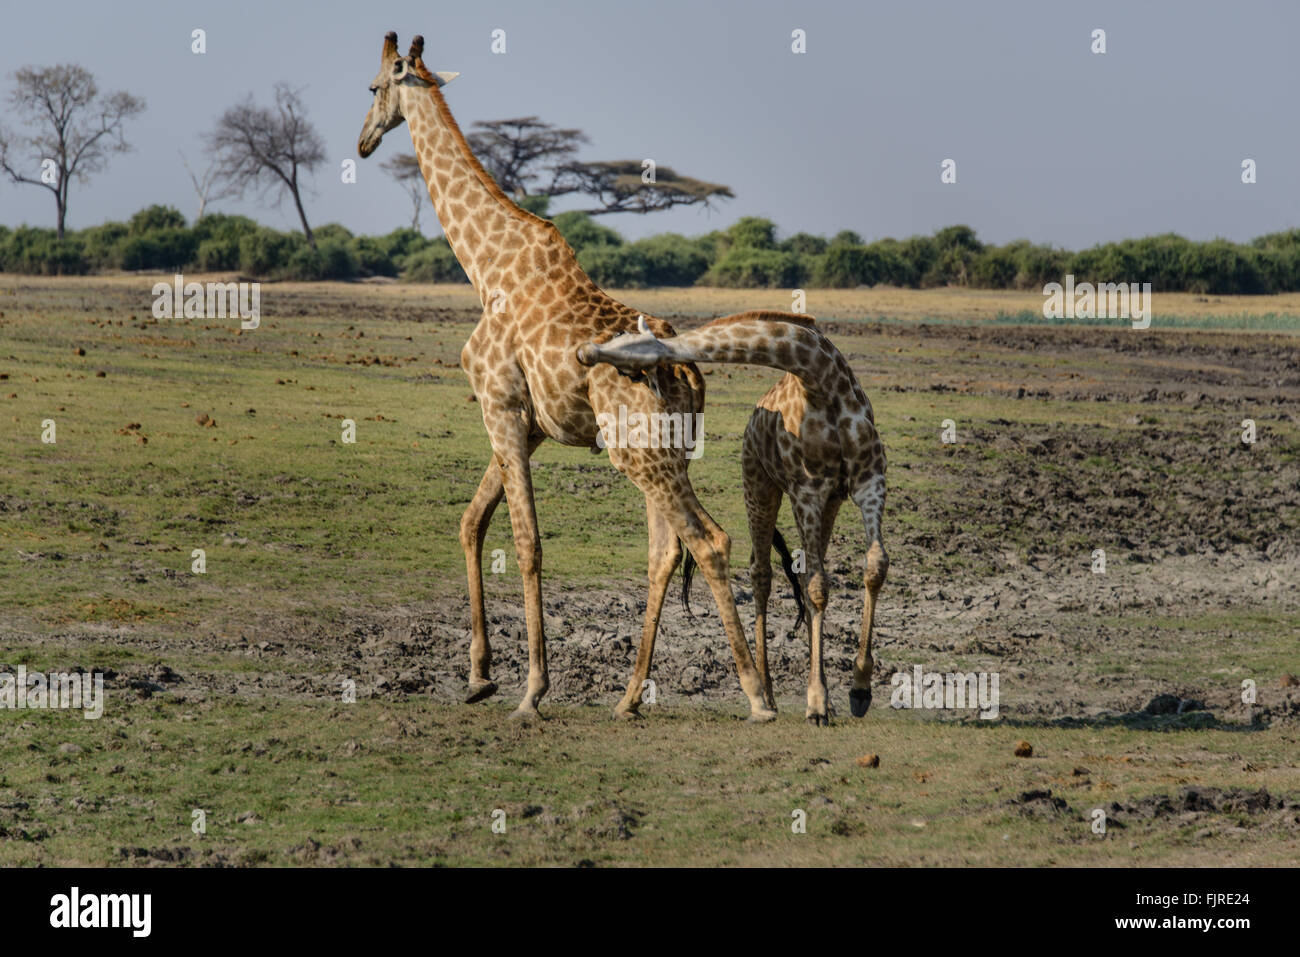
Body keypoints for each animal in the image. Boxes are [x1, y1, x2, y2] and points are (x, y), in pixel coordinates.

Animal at [361, 31, 774, 717]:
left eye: (371, 88)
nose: (363, 140)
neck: (487, 269)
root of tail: (687, 369)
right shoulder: (529, 422)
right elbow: (472, 522)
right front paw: (478, 676)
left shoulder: (498, 404)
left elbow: (526, 542)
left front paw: (531, 688)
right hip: (661, 451)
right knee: (666, 550)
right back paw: (629, 697)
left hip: (638, 452)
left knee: (708, 541)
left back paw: (757, 694)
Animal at [577, 314, 889, 722]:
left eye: (626, 343)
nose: (584, 352)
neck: (823, 379)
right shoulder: (808, 489)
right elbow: (817, 586)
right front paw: (818, 699)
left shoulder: (868, 481)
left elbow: (873, 567)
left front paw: (857, 689)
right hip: (759, 484)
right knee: (762, 572)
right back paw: (770, 694)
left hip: (828, 503)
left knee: (803, 568)